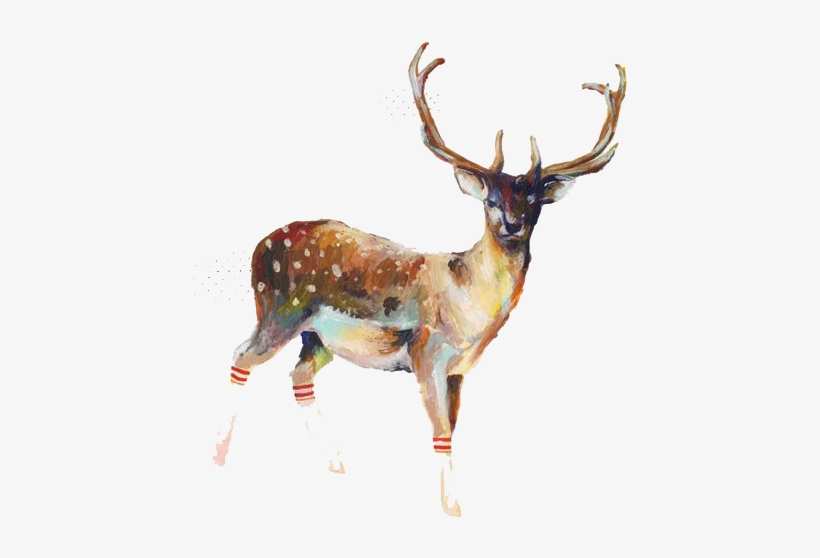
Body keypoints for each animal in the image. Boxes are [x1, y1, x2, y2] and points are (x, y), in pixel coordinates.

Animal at [212, 42, 626, 517]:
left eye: (534, 201)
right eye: (490, 199)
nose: (513, 224)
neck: (469, 313)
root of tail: (258, 247)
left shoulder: (460, 370)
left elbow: (453, 431)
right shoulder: (427, 352)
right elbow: (440, 432)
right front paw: (452, 509)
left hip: (316, 338)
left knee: (298, 376)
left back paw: (337, 464)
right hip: (278, 310)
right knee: (242, 356)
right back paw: (220, 454)